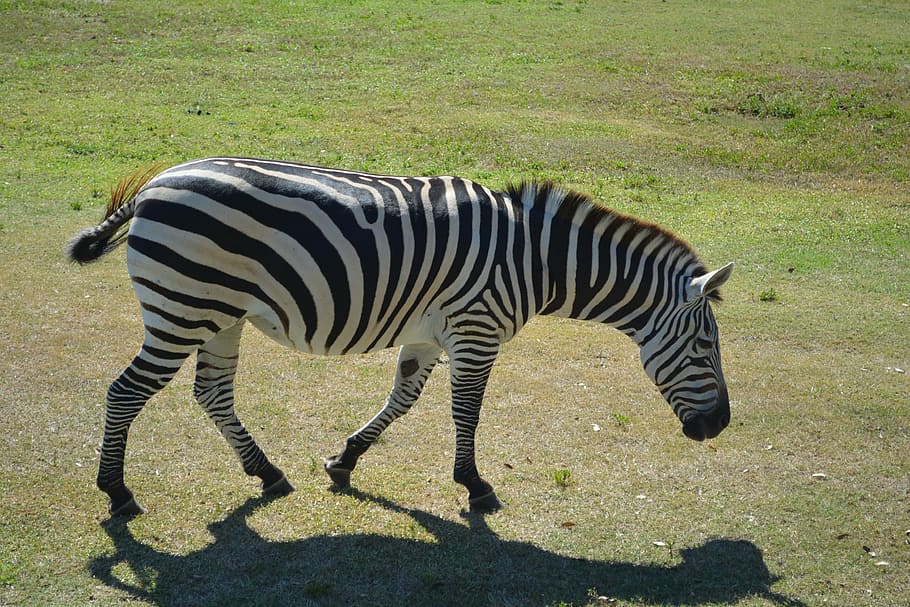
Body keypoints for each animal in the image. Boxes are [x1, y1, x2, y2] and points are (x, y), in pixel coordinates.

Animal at [67, 157, 734, 516]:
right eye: (705, 348)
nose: (720, 426)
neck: (534, 260)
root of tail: (157, 184)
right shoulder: (476, 329)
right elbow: (467, 411)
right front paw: (475, 486)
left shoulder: (431, 335)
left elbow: (404, 400)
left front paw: (344, 460)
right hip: (182, 309)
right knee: (125, 392)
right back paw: (117, 493)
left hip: (218, 314)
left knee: (211, 394)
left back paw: (268, 473)